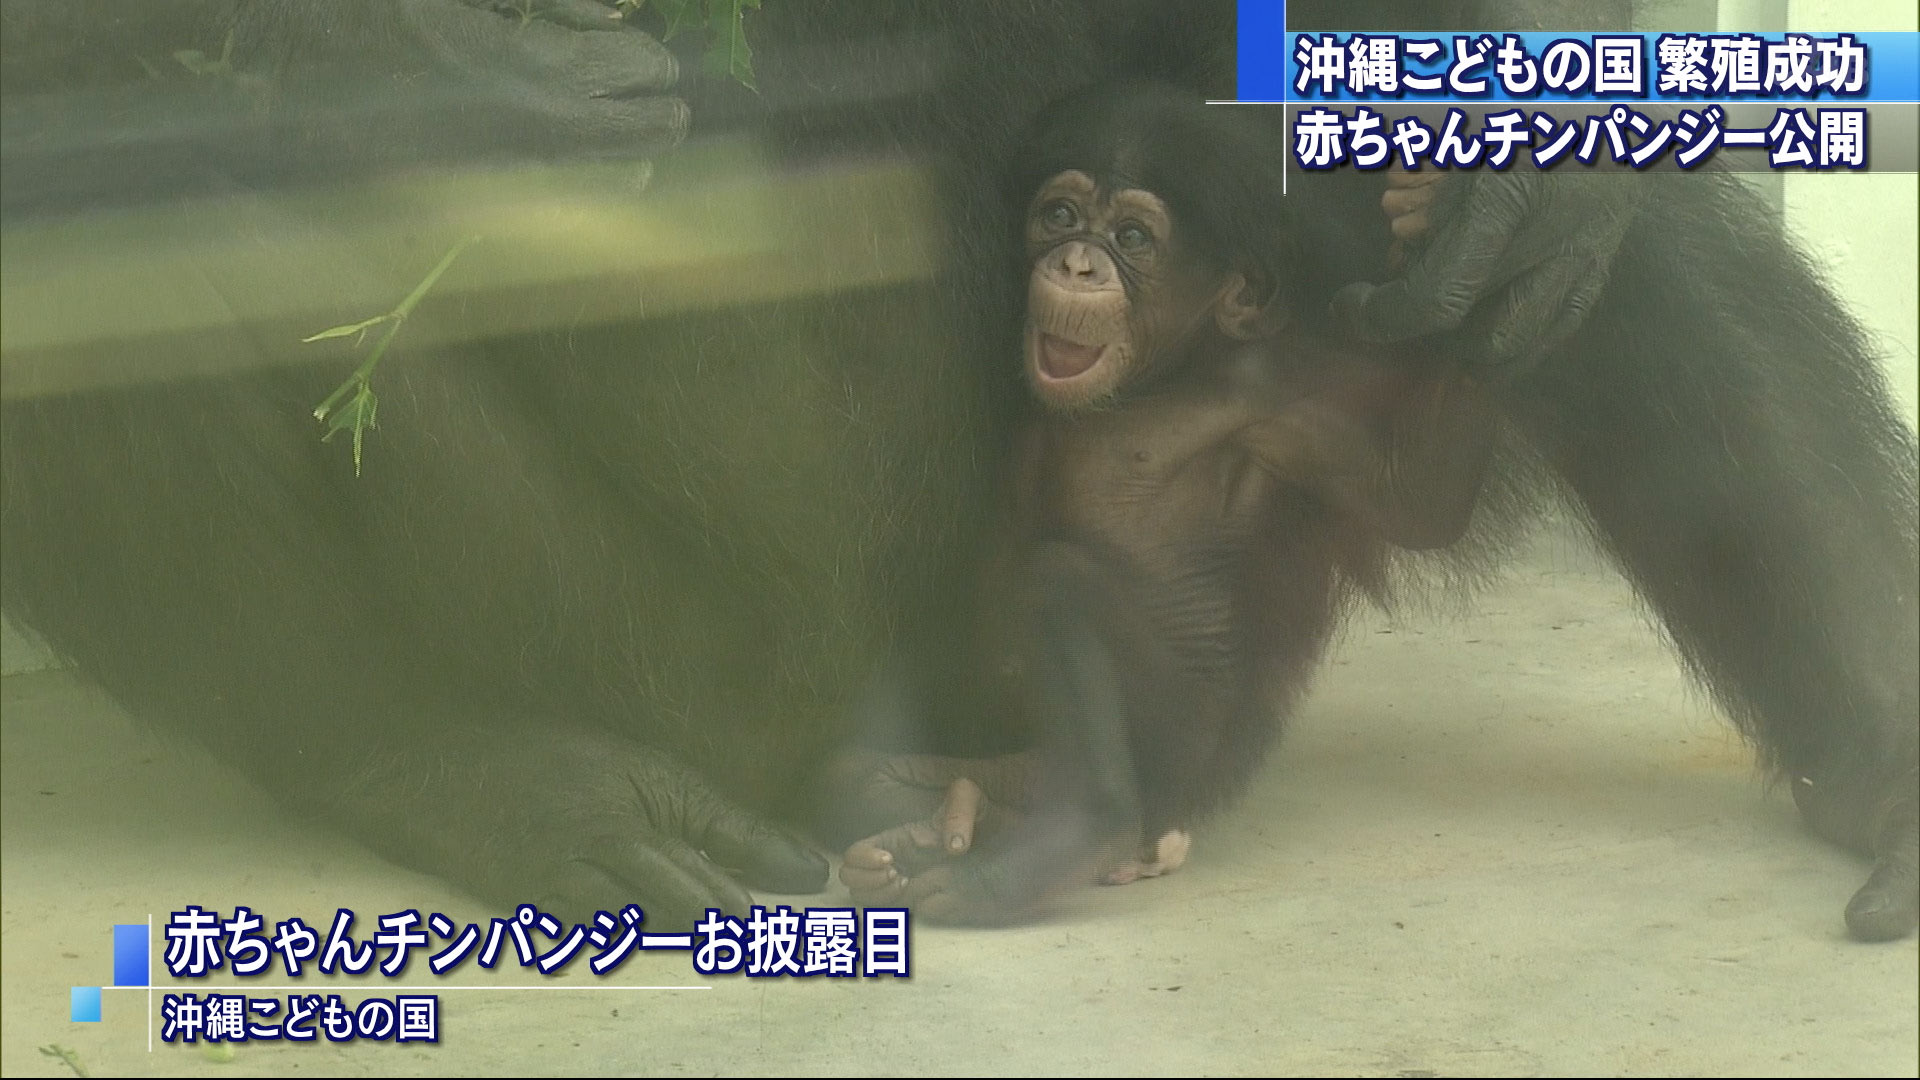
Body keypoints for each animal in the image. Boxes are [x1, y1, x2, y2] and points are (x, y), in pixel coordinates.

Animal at [840, 88, 1920, 933]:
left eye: (1133, 238)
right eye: (1060, 213)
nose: (1075, 264)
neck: (1156, 382)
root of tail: (1168, 831)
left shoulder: (1274, 400)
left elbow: (1423, 499)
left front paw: (1488, 236)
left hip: (1178, 745)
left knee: (1062, 588)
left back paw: (1058, 836)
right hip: (1032, 768)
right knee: (896, 777)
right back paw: (926, 827)